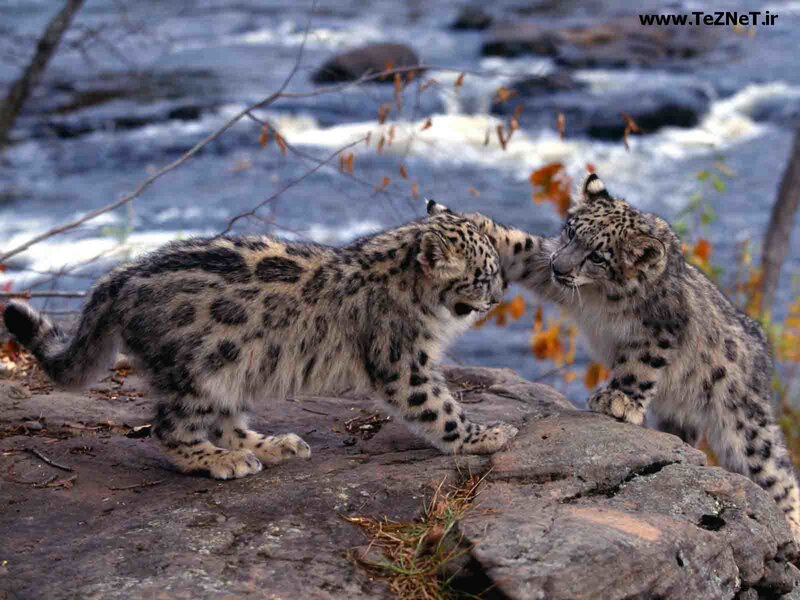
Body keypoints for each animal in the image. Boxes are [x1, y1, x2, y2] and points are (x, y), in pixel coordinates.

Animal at [3, 211, 518, 480]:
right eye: (484, 275)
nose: (499, 297)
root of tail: (121, 276)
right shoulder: (403, 362)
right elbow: (439, 408)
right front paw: (485, 435)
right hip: (198, 372)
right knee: (169, 429)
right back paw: (225, 461)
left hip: (234, 368)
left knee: (227, 420)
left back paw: (273, 445)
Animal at [427, 172, 800, 541]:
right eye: (571, 231)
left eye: (598, 256)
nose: (559, 266)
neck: (598, 296)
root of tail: (763, 351)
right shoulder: (545, 265)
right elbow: (521, 246)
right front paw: (465, 220)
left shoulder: (660, 328)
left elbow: (639, 363)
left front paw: (618, 400)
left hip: (744, 423)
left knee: (776, 472)